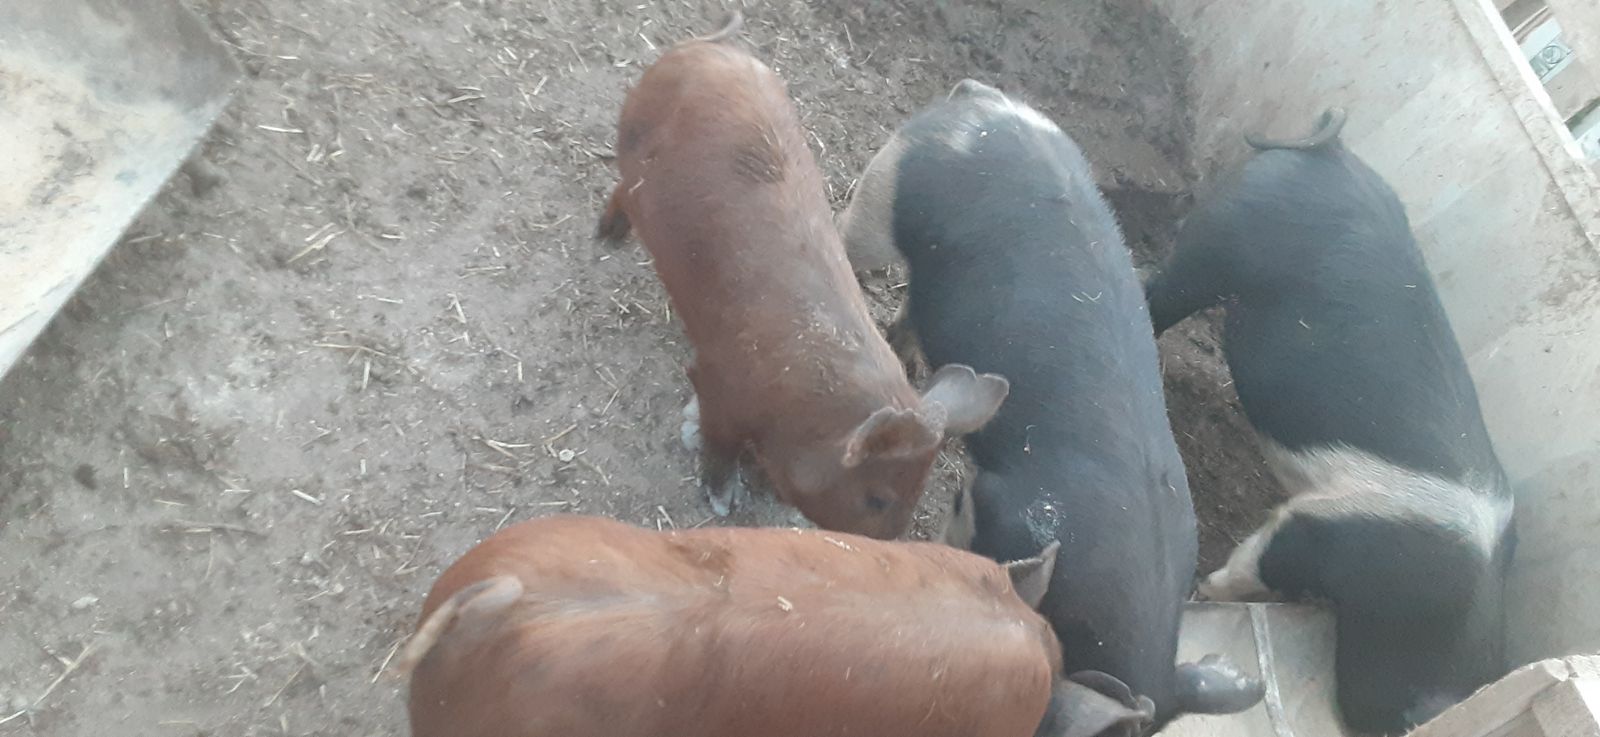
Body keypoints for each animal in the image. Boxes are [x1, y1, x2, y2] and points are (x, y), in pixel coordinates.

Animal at [595, 13, 1007, 540]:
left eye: (917, 494)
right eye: (877, 497)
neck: (808, 414)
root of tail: (707, 48)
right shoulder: (716, 381)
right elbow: (718, 442)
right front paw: (722, 500)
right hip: (631, 148)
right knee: (619, 189)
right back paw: (607, 237)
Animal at [1142, 107, 1517, 734]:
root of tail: (1329, 152)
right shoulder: (1323, 527)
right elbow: (1260, 558)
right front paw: (1209, 588)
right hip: (1219, 241)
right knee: (1160, 289)